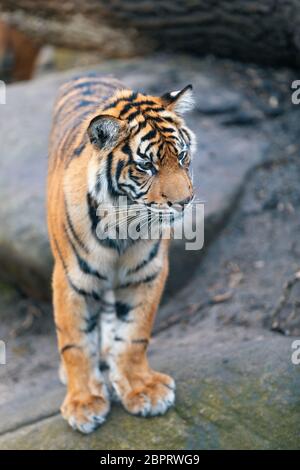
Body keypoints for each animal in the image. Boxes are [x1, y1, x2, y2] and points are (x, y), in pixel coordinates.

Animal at [47, 73, 196, 434]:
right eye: (147, 166)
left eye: (182, 156)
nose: (184, 201)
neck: (123, 225)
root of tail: (87, 74)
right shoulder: (71, 279)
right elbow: (74, 342)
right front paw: (83, 404)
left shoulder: (147, 272)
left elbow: (133, 334)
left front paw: (142, 389)